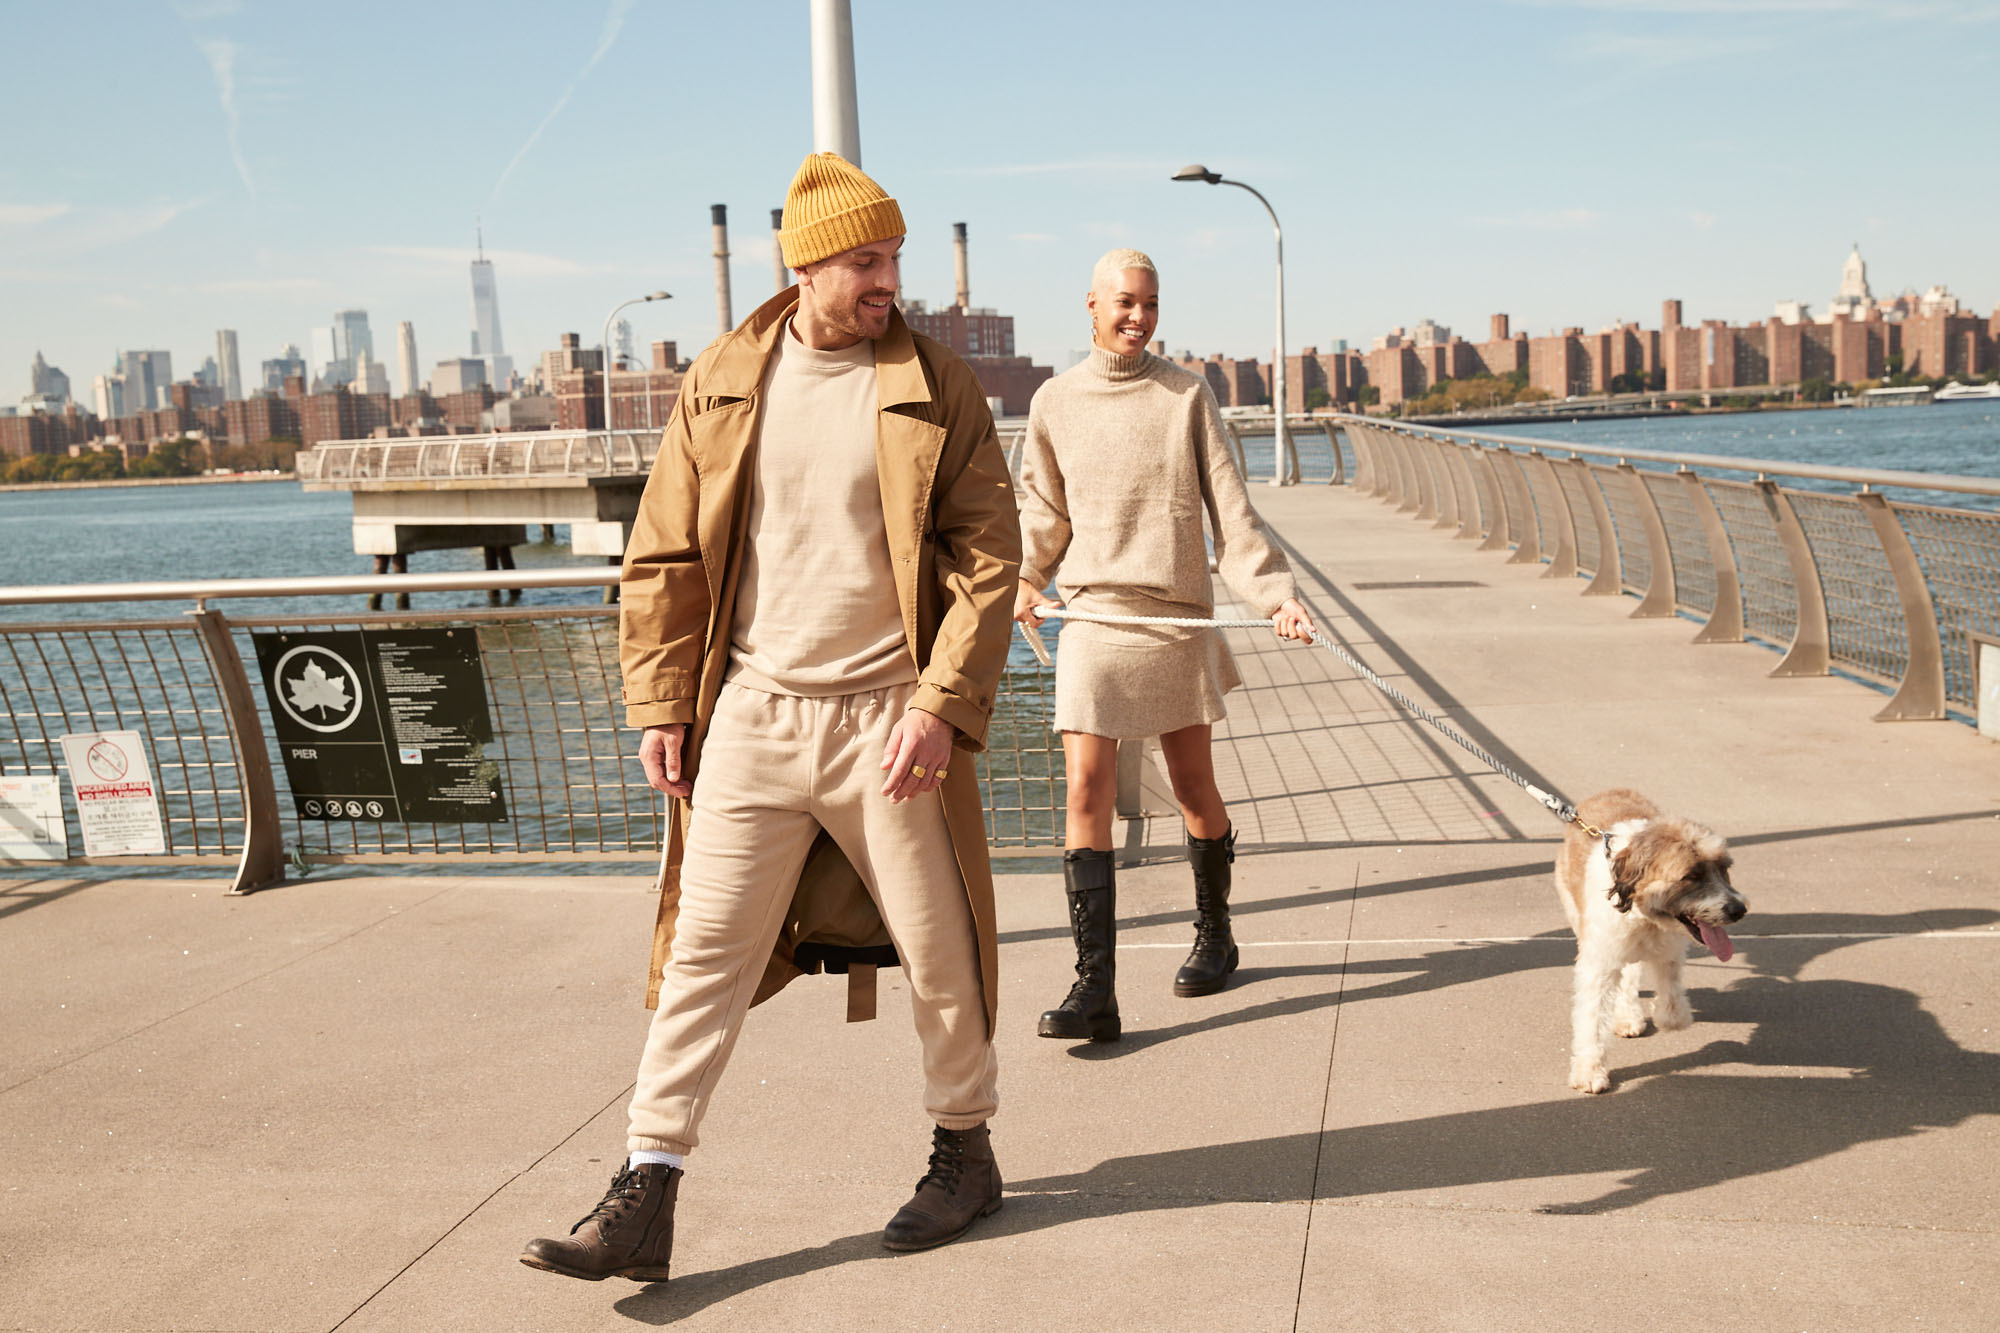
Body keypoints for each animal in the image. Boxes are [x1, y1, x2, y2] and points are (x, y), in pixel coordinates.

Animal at [1552, 784, 1744, 1088]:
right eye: (1691, 876)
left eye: (1724, 867)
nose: (1739, 909)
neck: (1644, 917)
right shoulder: (1599, 963)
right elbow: (1592, 1020)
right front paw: (1589, 1071)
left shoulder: (1668, 949)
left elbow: (1670, 985)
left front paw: (1672, 1015)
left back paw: (1628, 1014)